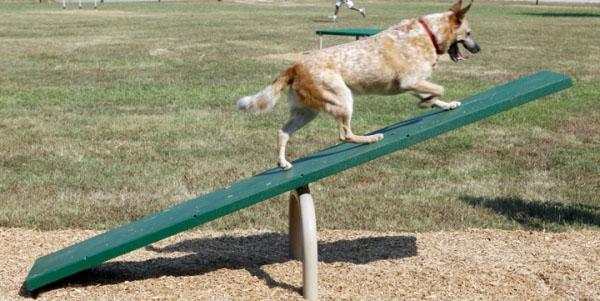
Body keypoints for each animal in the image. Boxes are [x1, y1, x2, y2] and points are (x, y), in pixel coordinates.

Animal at [237, 0, 480, 169]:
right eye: (468, 33)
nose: (478, 49)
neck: (429, 33)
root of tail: (295, 66)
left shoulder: (414, 84)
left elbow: (435, 95)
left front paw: (444, 104)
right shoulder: (410, 81)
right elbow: (439, 89)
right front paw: (428, 102)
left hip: (307, 112)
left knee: (283, 132)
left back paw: (283, 163)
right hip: (343, 99)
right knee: (344, 134)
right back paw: (370, 138)